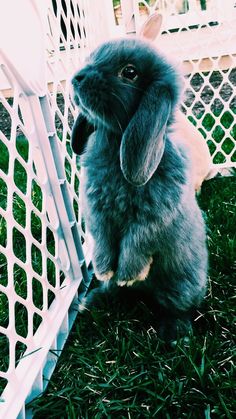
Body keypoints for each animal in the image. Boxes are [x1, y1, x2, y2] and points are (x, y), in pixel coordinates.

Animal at [71, 37, 207, 342]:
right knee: (115, 293)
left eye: (130, 72)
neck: (116, 139)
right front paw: (104, 269)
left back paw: (175, 333)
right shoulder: (97, 214)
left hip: (181, 283)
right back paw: (92, 299)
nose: (77, 78)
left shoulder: (152, 221)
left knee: (177, 307)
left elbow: (135, 244)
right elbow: (104, 242)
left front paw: (127, 275)